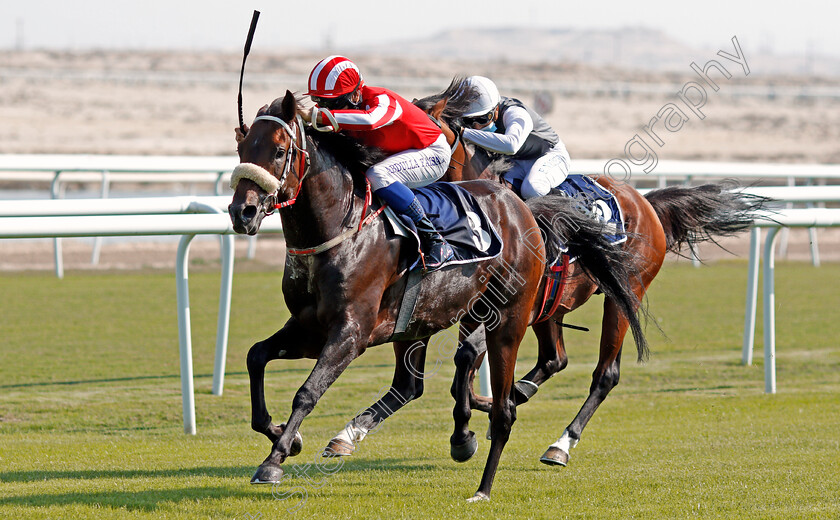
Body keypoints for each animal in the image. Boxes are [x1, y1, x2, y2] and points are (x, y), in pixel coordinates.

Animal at [226, 89, 640, 500]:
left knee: (545, 383)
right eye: (242, 147)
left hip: (511, 315)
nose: (242, 211)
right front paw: (285, 436)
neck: (342, 229)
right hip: (434, 319)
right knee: (420, 383)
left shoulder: (350, 333)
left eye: (279, 150)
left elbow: (307, 391)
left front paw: (274, 459)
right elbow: (255, 356)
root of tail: (519, 205)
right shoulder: (309, 328)